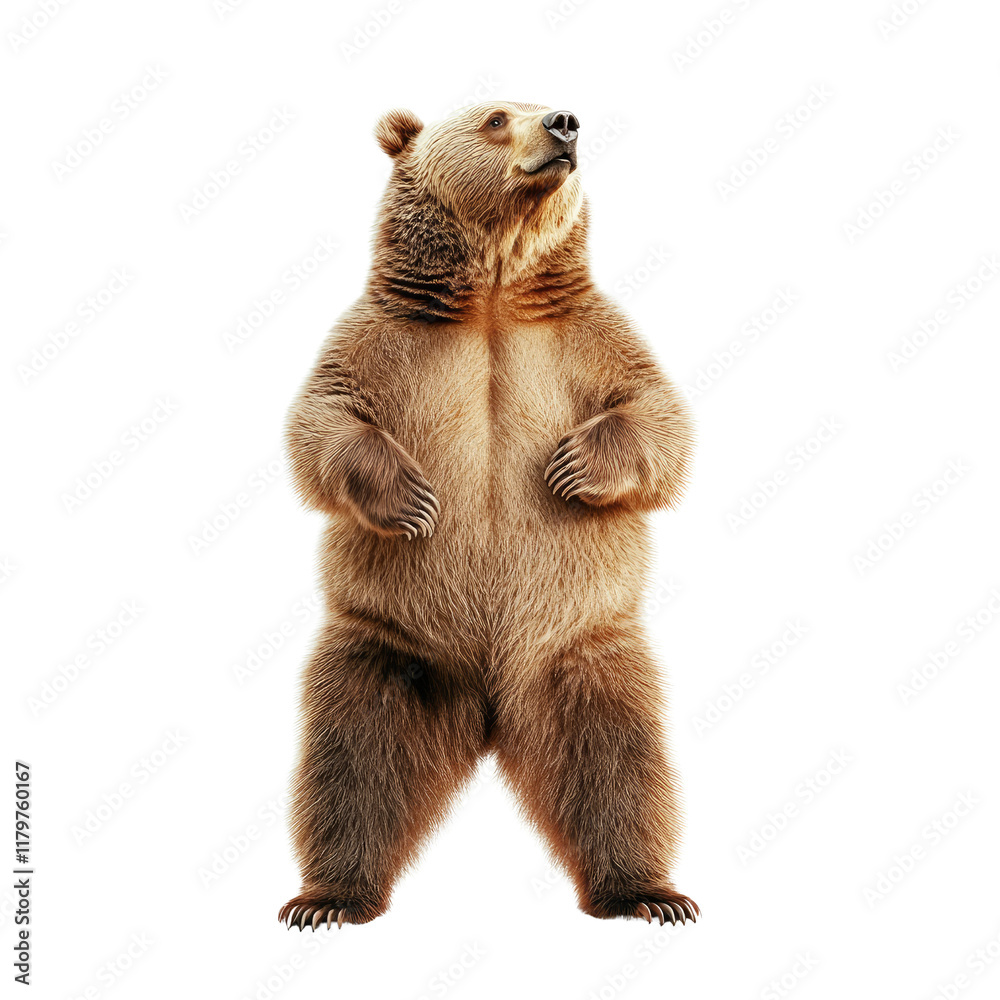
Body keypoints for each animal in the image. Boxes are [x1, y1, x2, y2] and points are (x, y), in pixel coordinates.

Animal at [278, 102, 698, 931]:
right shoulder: (378, 338)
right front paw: (413, 498)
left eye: (546, 106)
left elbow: (658, 416)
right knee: (353, 758)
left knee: (619, 761)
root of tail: (489, 709)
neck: (495, 295)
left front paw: (573, 468)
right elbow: (324, 423)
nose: (564, 123)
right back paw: (329, 897)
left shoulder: (591, 337)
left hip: (582, 647)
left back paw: (646, 891)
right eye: (497, 117)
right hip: (386, 642)